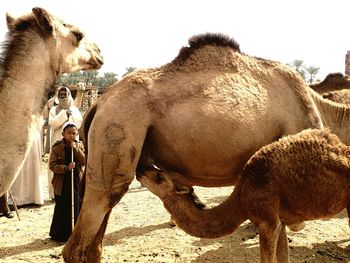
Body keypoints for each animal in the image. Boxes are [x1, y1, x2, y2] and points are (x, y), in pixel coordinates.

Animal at [136, 129, 350, 263]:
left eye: (159, 176)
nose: (139, 170)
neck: (240, 198)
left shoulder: (267, 221)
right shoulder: (279, 221)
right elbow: (283, 256)